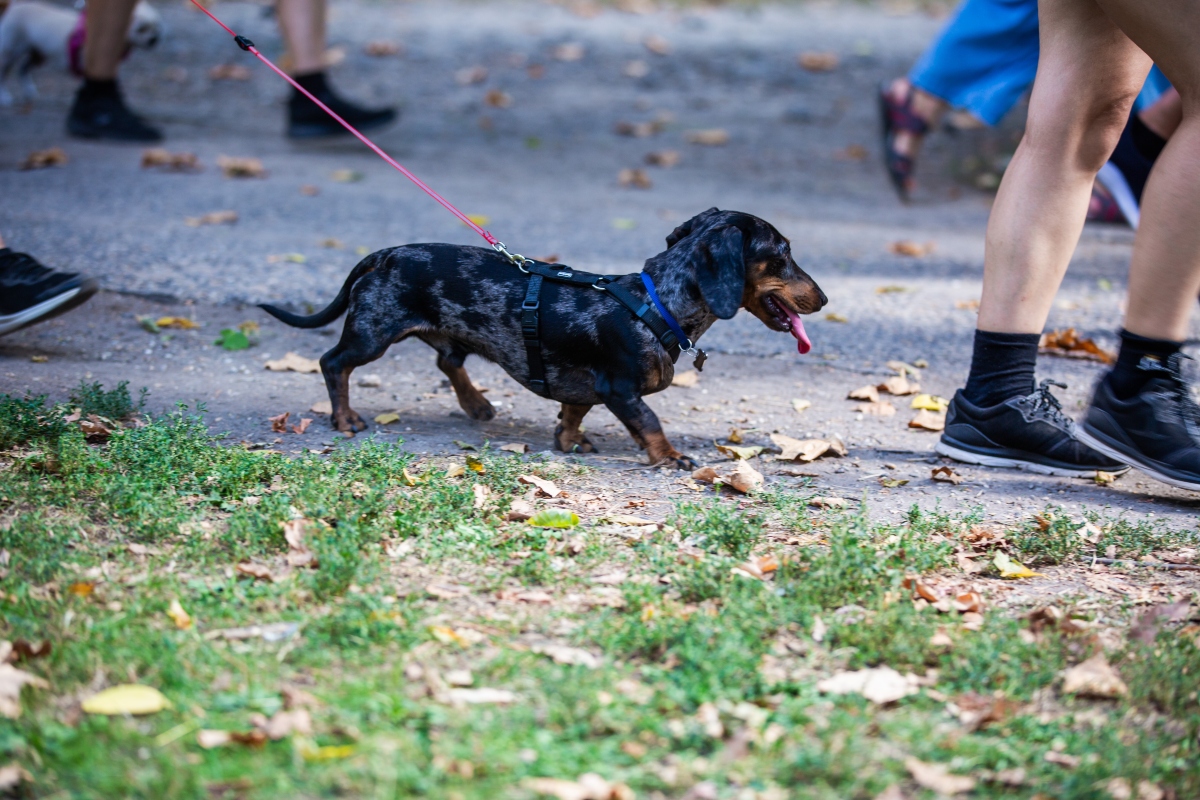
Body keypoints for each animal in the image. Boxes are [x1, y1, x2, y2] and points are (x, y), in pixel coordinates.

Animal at [0, 0, 162, 104]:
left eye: (156, 26)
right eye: (141, 29)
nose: (153, 39)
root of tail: (13, 6)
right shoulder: (88, 66)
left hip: (38, 54)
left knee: (23, 69)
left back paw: (30, 91)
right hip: (10, 52)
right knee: (5, 73)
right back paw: (5, 96)